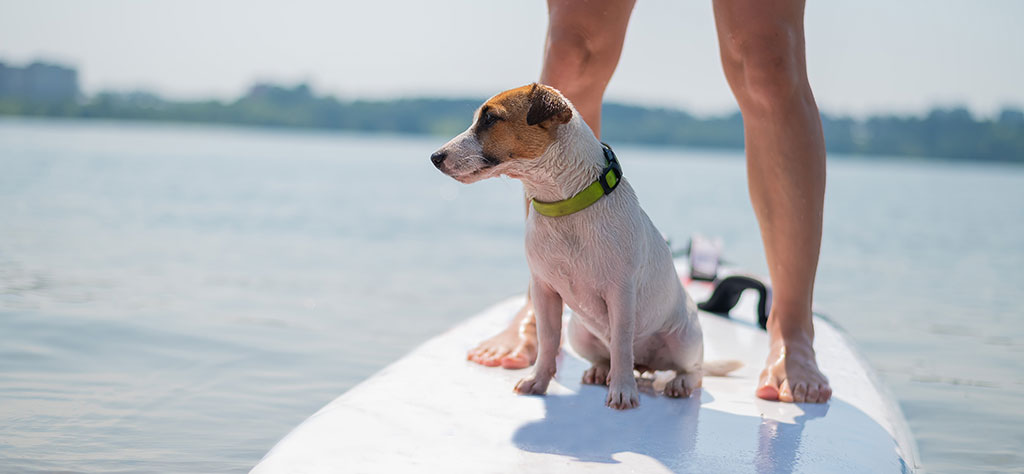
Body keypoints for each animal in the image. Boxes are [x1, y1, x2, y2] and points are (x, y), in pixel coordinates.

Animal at [432, 83, 737, 409]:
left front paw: (623, 391)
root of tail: (646, 365)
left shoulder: (621, 295)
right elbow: (549, 340)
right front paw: (538, 381)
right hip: (580, 333)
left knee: (693, 371)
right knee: (607, 356)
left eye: (490, 119)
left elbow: (621, 343)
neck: (565, 206)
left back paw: (676, 382)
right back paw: (600, 371)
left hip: (684, 341)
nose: (435, 157)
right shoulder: (544, 291)